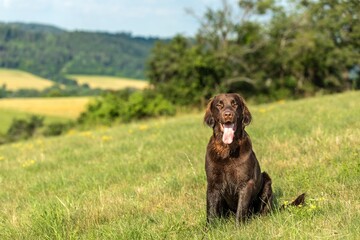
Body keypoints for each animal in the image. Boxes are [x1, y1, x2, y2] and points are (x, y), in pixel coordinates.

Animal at [204, 93, 302, 224]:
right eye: (219, 104)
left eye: (234, 104)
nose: (228, 114)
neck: (228, 150)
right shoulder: (213, 183)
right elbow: (211, 210)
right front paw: (210, 228)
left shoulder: (246, 183)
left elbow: (241, 210)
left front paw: (239, 227)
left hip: (266, 181)